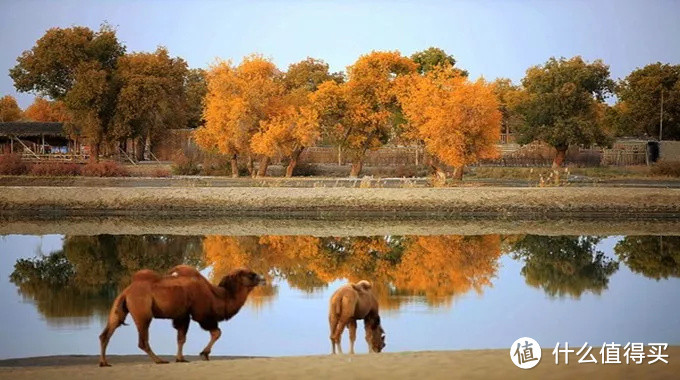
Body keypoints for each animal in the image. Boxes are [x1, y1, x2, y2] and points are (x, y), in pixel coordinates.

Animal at [99, 262, 264, 366]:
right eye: (251, 275)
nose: (263, 279)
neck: (217, 296)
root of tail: (127, 291)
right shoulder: (201, 315)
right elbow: (216, 332)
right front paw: (204, 354)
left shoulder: (182, 315)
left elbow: (181, 338)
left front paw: (180, 359)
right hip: (142, 312)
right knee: (142, 340)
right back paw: (159, 360)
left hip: (119, 307)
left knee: (107, 332)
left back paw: (104, 362)